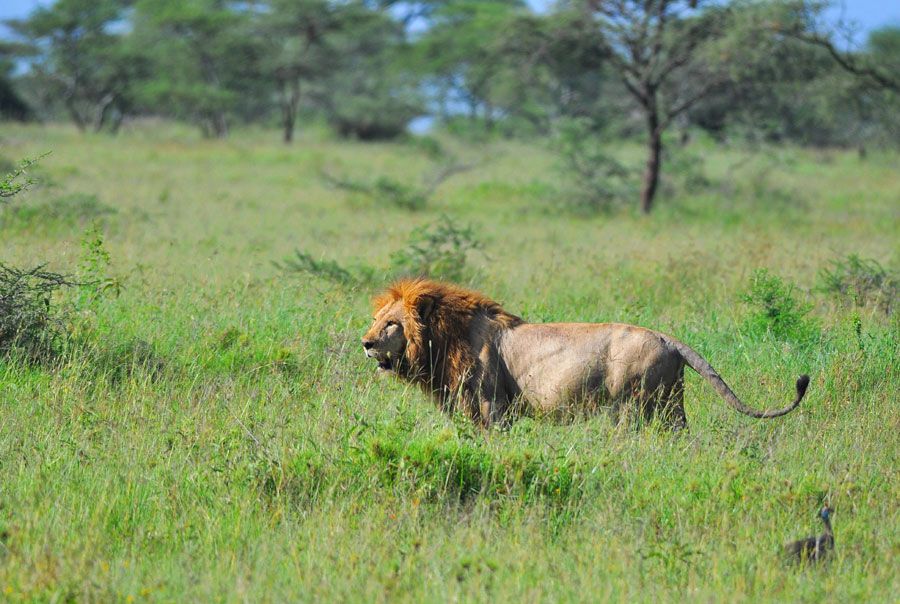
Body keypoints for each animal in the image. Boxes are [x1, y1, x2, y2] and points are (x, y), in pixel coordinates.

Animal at [361, 278, 809, 429]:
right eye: (377, 319)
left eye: (391, 324)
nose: (365, 343)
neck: (441, 339)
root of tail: (668, 338)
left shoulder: (491, 404)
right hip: (671, 403)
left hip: (630, 403)